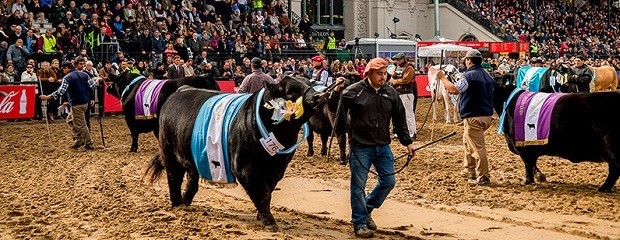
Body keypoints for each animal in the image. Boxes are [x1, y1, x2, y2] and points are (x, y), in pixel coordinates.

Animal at [143, 77, 330, 231]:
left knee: (192, 180)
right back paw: (177, 205)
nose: (319, 96)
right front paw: (270, 222)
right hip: (169, 153)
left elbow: (267, 191)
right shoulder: (244, 166)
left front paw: (261, 216)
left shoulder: (276, 169)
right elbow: (262, 193)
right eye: (290, 90)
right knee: (173, 178)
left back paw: (186, 201)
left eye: (309, 83)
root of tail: (181, 90)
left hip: (191, 158)